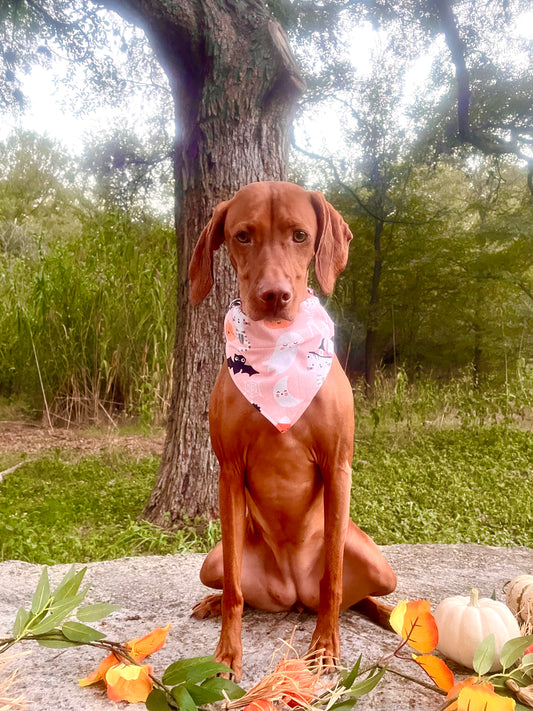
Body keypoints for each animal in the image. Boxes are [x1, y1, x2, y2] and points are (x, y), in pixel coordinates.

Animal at [187, 181, 394, 680]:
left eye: (300, 235)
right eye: (242, 236)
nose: (274, 295)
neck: (278, 357)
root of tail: (294, 594)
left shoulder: (338, 467)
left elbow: (333, 579)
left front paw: (325, 646)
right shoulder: (228, 472)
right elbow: (236, 591)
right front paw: (228, 653)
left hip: (379, 566)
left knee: (356, 595)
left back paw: (385, 614)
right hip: (212, 560)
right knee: (235, 586)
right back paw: (211, 601)